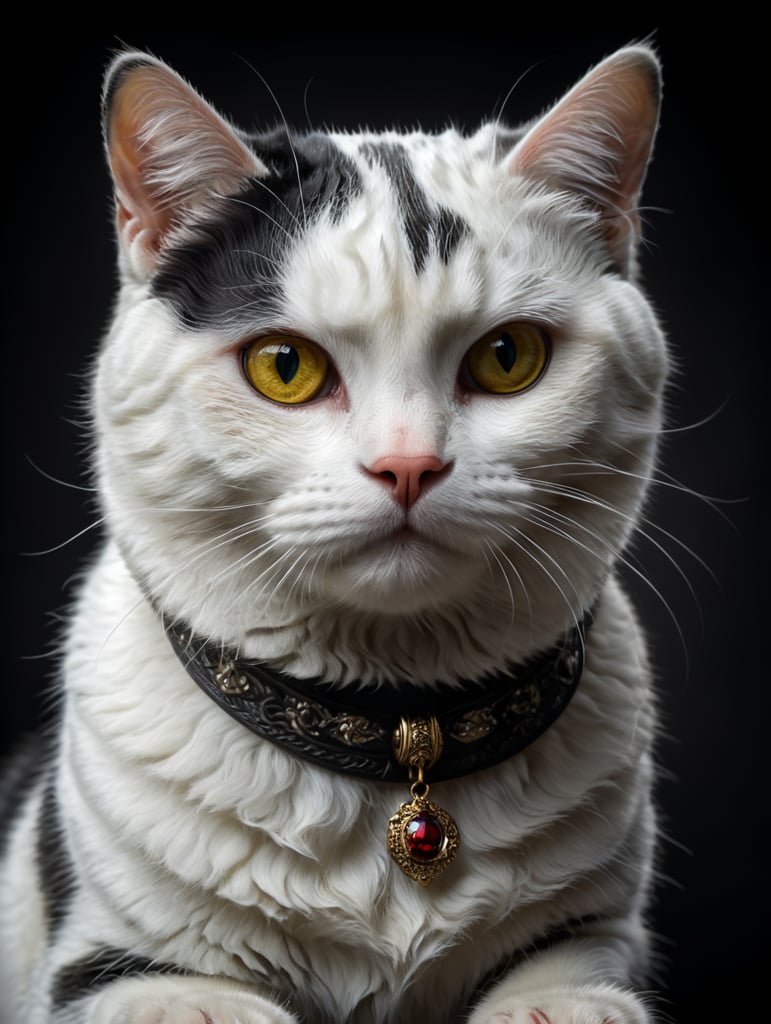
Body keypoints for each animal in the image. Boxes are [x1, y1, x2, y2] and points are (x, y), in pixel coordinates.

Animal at [0, 41, 663, 1024]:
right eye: (285, 367)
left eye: (508, 357)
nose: (407, 466)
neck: (395, 739)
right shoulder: (107, 964)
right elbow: (196, 1001)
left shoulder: (596, 935)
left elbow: (562, 989)